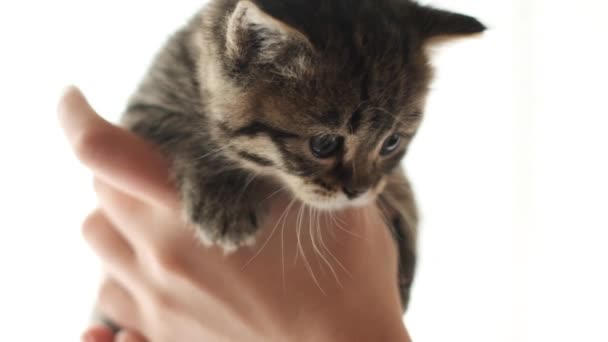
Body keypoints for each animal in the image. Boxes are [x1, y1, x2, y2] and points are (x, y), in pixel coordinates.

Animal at [121, 0, 486, 310]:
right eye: (323, 144)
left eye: (391, 143)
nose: (359, 191)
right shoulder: (145, 108)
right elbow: (187, 132)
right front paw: (224, 201)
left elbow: (397, 184)